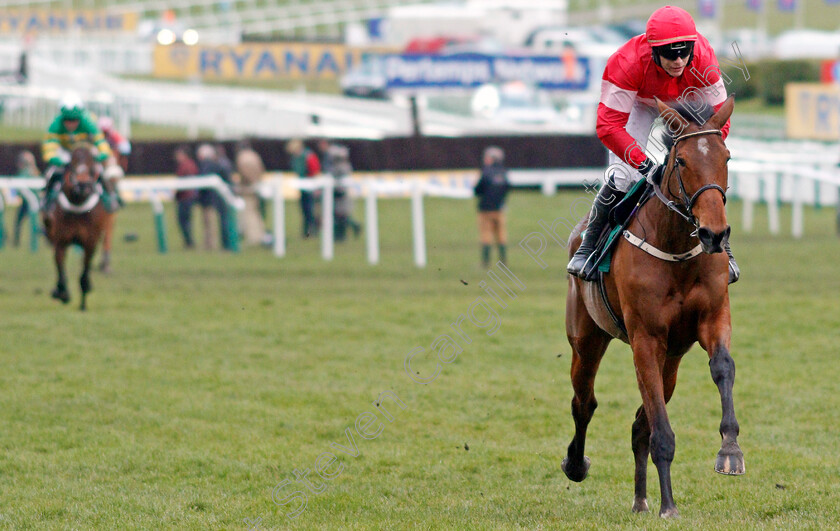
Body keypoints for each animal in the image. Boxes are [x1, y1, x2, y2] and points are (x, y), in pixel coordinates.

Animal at [43, 145, 108, 312]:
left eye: (91, 165)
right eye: (72, 163)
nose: (83, 185)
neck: (77, 203)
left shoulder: (90, 243)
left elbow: (84, 274)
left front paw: (83, 305)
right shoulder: (60, 241)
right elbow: (60, 268)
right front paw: (62, 293)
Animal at [564, 97, 740, 516]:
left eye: (726, 157)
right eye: (682, 161)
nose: (714, 234)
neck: (676, 248)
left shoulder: (713, 318)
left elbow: (723, 367)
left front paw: (730, 451)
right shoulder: (645, 338)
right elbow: (661, 429)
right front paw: (669, 504)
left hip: (671, 359)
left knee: (639, 422)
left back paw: (641, 499)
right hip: (587, 339)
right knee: (584, 402)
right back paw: (576, 465)